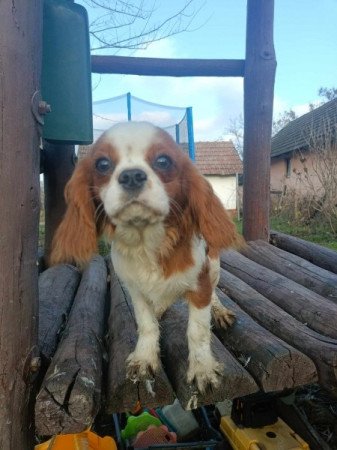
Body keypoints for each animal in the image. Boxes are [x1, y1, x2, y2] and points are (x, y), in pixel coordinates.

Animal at [49, 121, 239, 392]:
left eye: (163, 161)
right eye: (102, 164)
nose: (131, 176)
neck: (146, 242)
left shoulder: (199, 284)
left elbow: (198, 330)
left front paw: (202, 368)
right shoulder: (135, 290)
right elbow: (146, 324)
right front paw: (145, 358)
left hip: (213, 266)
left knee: (214, 293)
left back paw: (219, 311)